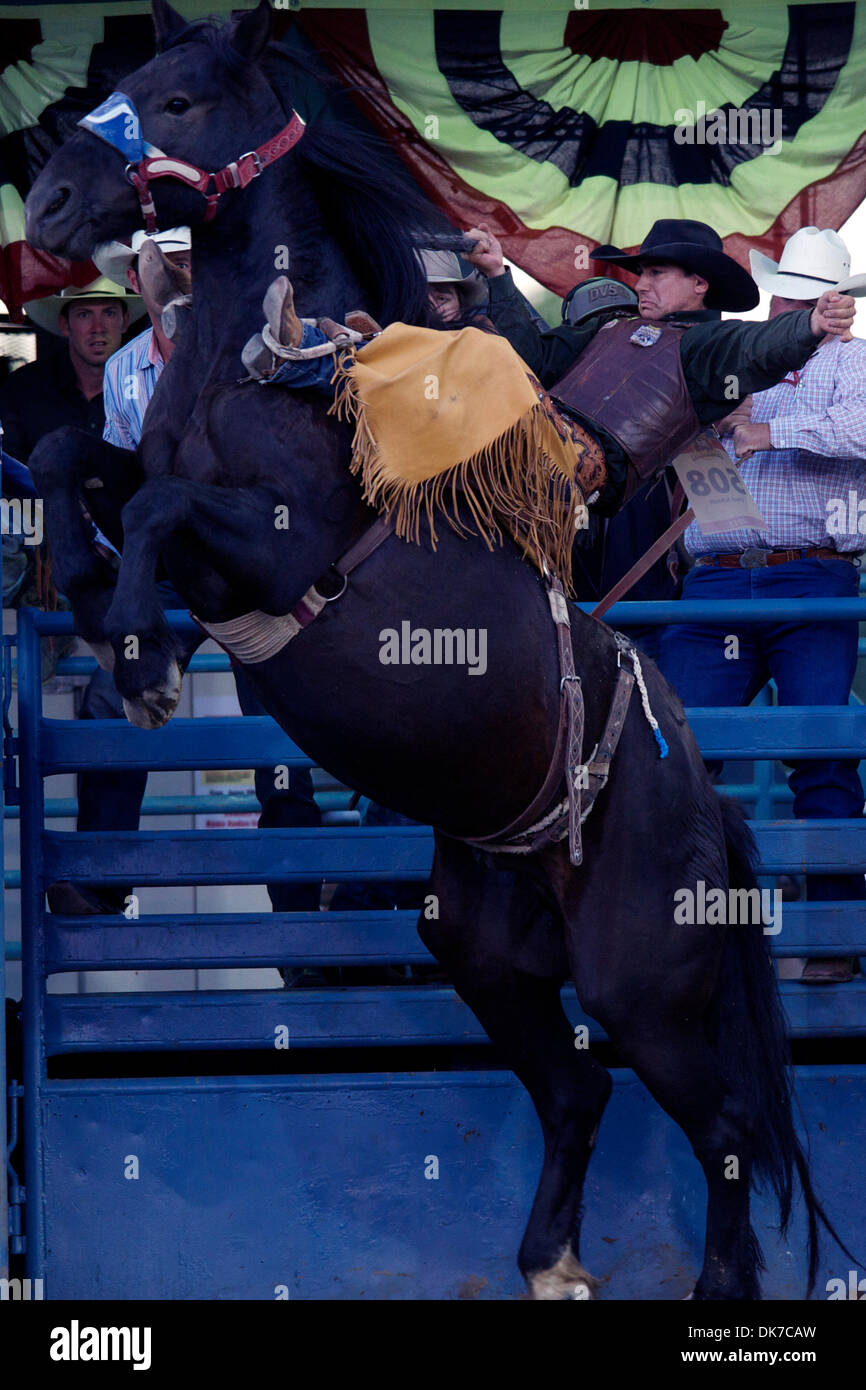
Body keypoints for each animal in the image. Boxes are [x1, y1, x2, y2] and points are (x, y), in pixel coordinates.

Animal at [23, 2, 850, 1301]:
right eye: (131, 77)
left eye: (179, 102)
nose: (51, 206)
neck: (288, 367)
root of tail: (700, 794)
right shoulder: (153, 486)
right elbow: (75, 458)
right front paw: (102, 604)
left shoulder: (279, 549)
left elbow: (159, 507)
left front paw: (145, 663)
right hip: (478, 948)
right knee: (574, 1088)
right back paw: (548, 1264)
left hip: (642, 978)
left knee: (718, 1126)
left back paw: (709, 1287)